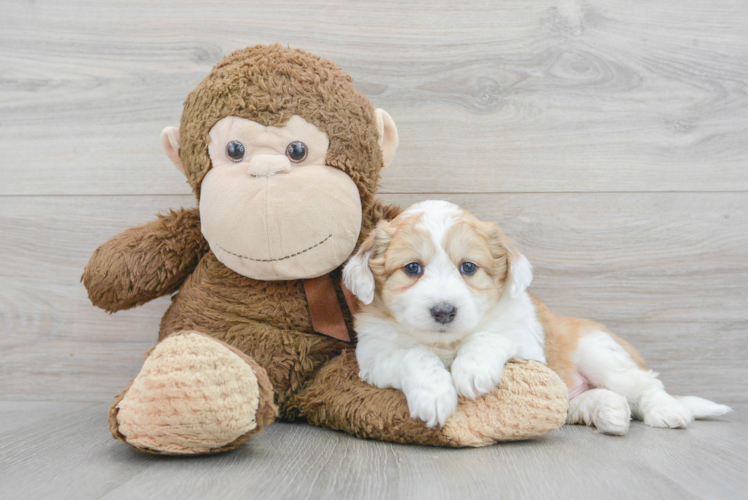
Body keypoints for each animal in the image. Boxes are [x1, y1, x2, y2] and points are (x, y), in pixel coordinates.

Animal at [344, 200, 732, 434]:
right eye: (412, 268)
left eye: (468, 267)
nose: (443, 310)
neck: (448, 343)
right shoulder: (375, 357)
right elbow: (414, 355)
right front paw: (434, 393)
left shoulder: (527, 344)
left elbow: (488, 336)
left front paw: (471, 370)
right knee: (574, 405)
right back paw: (609, 411)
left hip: (601, 355)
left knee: (646, 385)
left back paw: (666, 410)